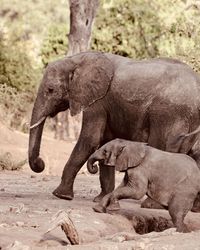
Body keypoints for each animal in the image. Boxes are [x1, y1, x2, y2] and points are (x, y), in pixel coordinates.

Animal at [28, 50, 200, 201]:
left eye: (50, 90)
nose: (41, 163)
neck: (76, 59)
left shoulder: (98, 102)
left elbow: (91, 139)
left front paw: (61, 195)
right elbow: (105, 142)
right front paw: (100, 199)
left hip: (169, 114)